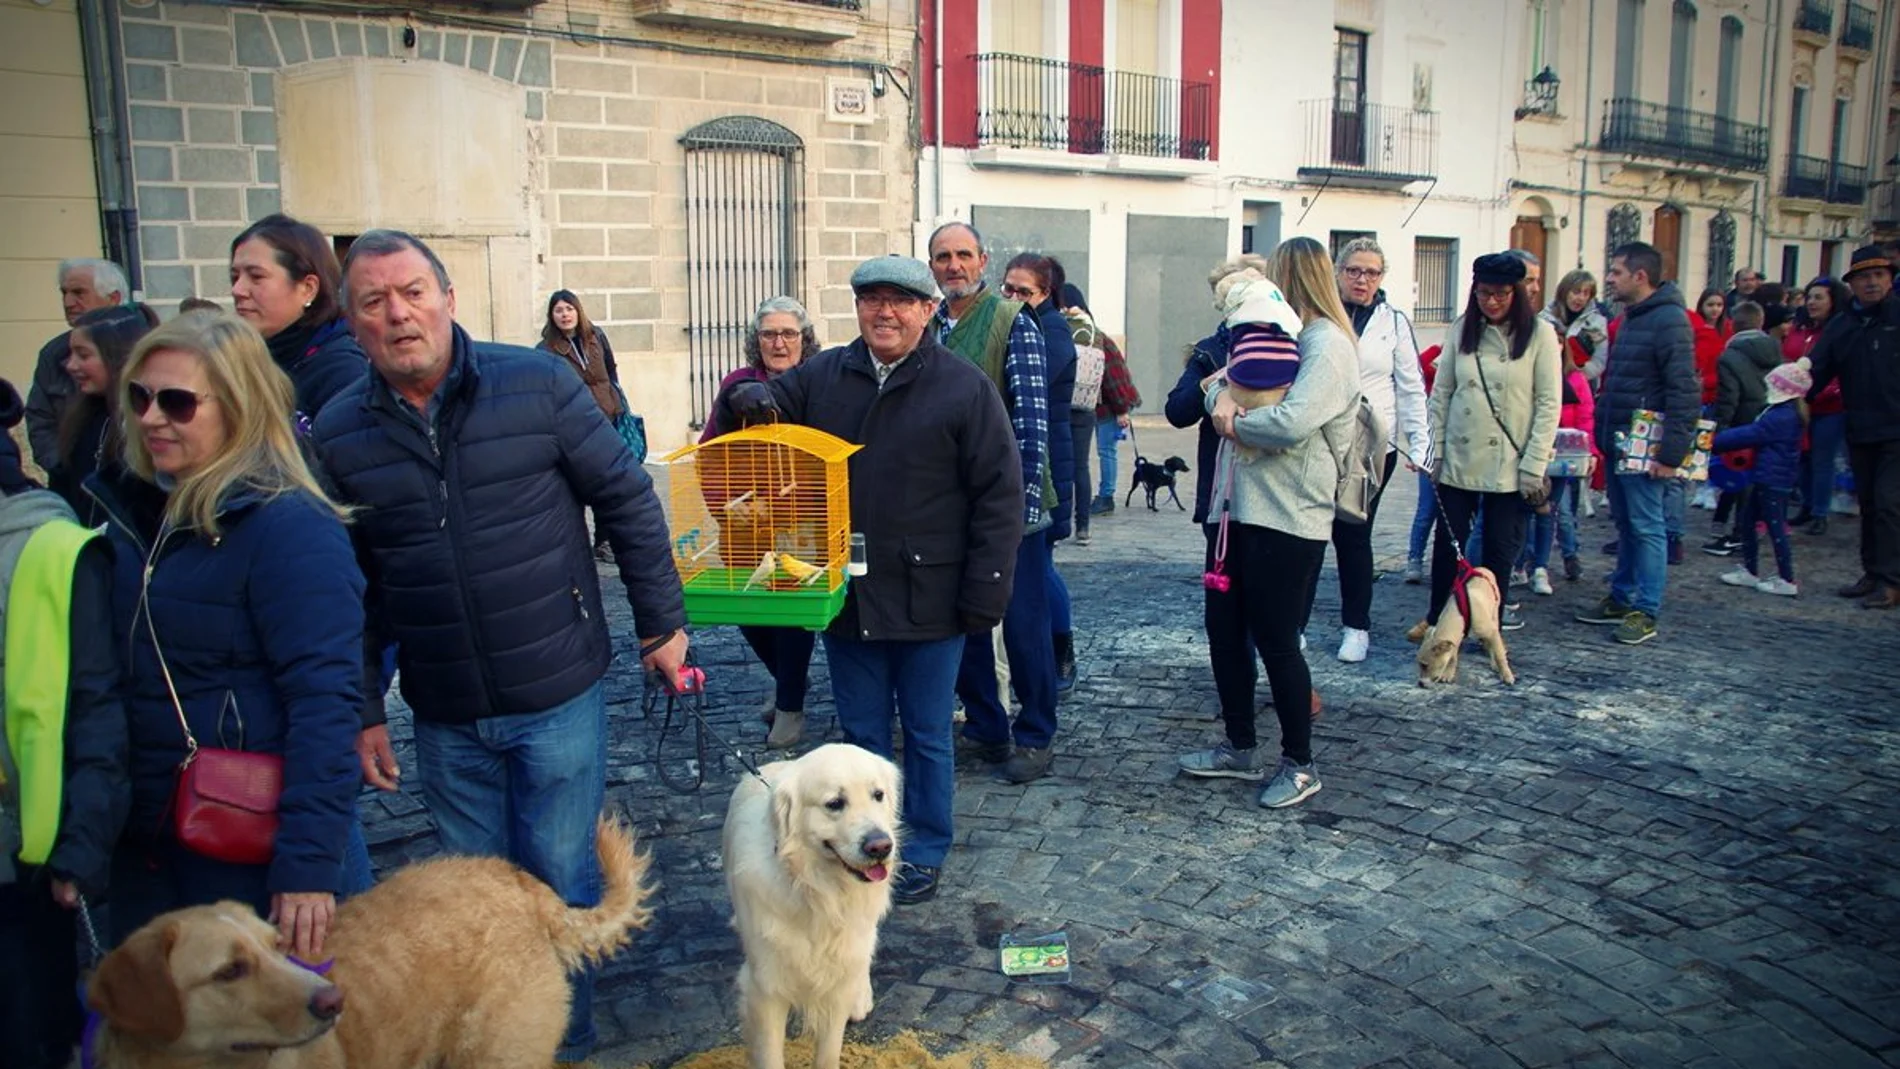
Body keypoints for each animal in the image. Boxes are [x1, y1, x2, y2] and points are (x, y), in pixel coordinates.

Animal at [725, 744, 904, 1069]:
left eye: (878, 795)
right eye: (834, 803)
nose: (881, 847)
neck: (818, 889)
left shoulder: (835, 981)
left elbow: (829, 1051)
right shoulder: (765, 988)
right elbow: (770, 1056)